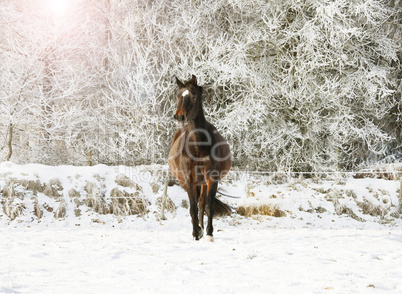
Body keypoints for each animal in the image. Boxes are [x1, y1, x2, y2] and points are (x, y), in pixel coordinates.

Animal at [168, 74, 232, 240]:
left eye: (194, 96)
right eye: (177, 96)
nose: (179, 117)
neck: (197, 145)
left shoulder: (212, 178)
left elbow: (209, 206)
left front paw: (209, 234)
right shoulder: (189, 180)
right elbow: (192, 208)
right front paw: (196, 234)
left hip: (203, 182)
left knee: (202, 202)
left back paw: (202, 228)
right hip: (185, 182)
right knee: (197, 204)